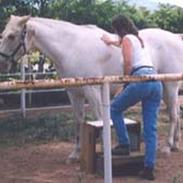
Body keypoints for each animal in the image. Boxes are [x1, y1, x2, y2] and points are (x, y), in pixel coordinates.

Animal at [0, 15, 182, 161]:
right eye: (3, 34)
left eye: (11, 36)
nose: (2, 64)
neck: (71, 48)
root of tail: (175, 38)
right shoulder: (74, 94)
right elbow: (79, 121)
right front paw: (76, 153)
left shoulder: (92, 90)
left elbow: (101, 119)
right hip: (164, 88)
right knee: (175, 113)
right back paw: (175, 145)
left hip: (170, 86)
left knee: (173, 114)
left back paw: (167, 146)